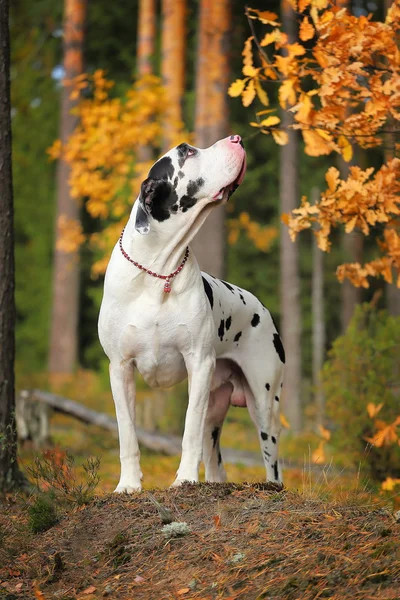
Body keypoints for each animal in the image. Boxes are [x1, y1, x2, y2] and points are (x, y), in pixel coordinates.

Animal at [97, 136, 284, 492]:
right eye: (187, 151)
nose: (237, 138)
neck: (157, 272)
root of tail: (262, 307)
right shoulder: (120, 368)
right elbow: (127, 433)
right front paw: (128, 484)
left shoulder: (199, 363)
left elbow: (189, 430)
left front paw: (184, 478)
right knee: (215, 459)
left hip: (263, 400)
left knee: (271, 456)